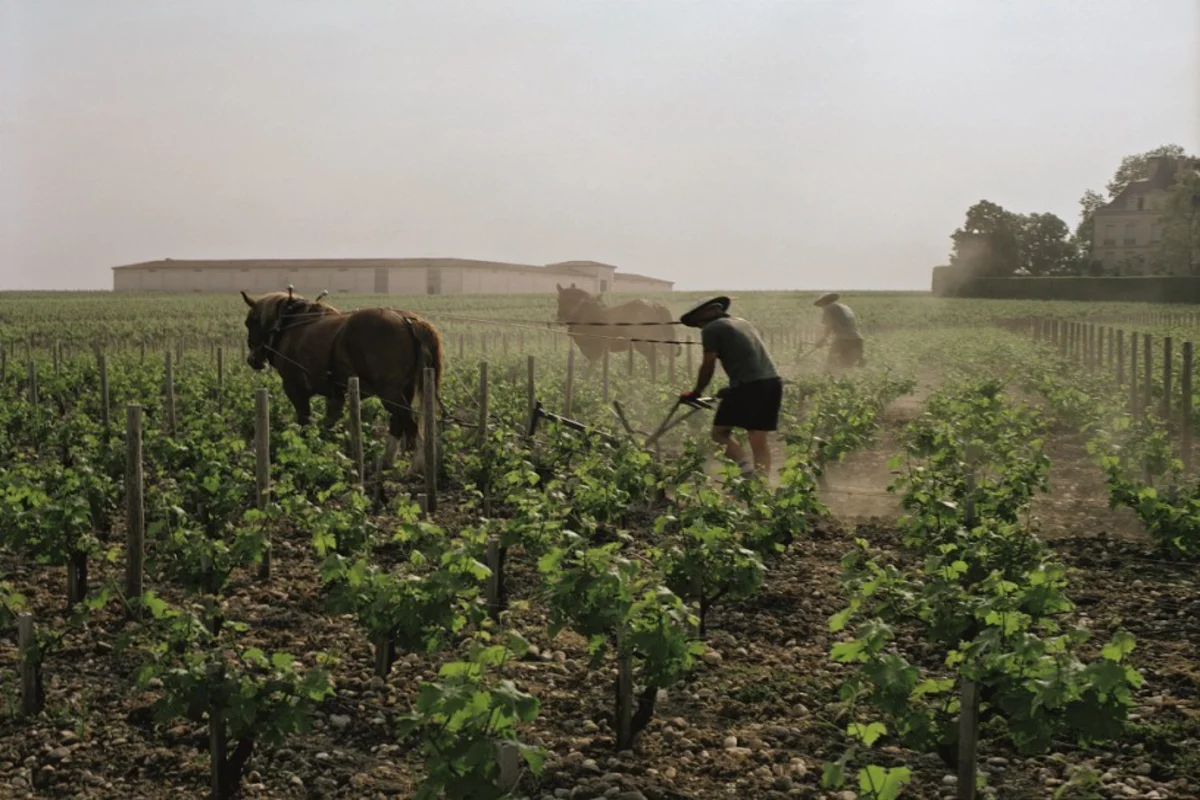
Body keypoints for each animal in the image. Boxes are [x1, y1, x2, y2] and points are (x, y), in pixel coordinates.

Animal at [241, 291, 444, 470]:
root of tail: (407, 320)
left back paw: (417, 465)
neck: (287, 326)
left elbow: (305, 420)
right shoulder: (336, 393)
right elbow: (330, 422)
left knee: (410, 422)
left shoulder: (294, 388)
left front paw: (307, 450)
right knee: (399, 422)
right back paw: (386, 462)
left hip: (389, 392)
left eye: (249, 322)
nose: (252, 360)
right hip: (404, 389)